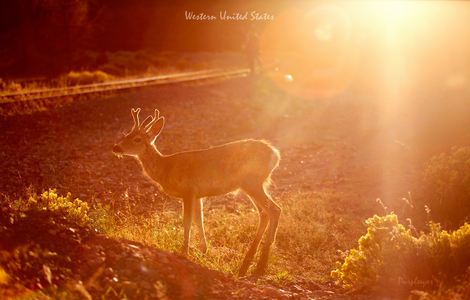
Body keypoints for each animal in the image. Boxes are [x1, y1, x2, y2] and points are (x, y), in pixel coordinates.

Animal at [112, 108, 280, 276]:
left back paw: (261, 264)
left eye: (137, 139)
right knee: (264, 213)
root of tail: (276, 154)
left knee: (274, 209)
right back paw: (246, 264)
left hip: (252, 181)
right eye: (126, 134)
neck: (166, 168)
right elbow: (199, 220)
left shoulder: (188, 191)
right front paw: (203, 250)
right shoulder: (198, 195)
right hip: (252, 184)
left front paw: (184, 251)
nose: (116, 147)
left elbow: (187, 221)